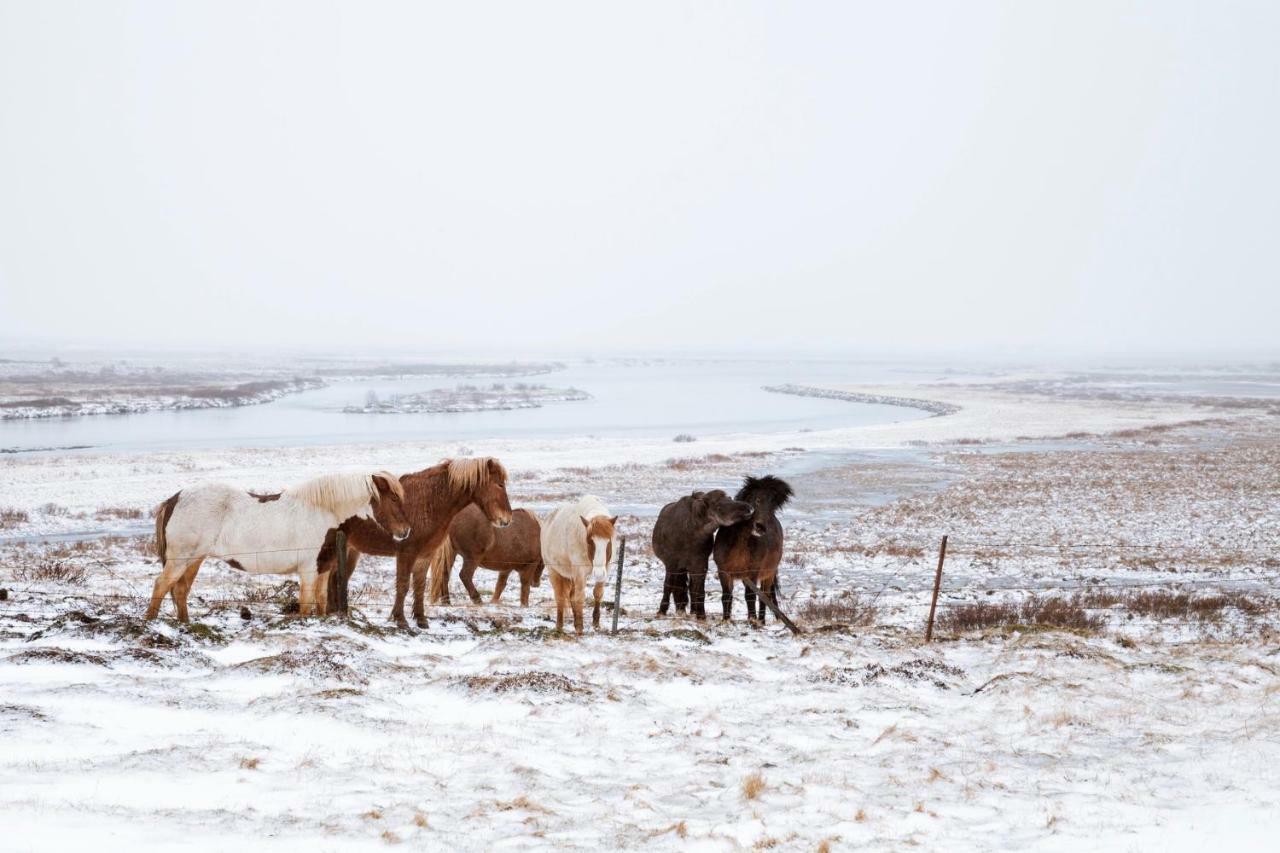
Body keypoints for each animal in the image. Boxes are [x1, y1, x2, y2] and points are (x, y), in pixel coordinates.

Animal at [149, 468, 409, 622]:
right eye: (393, 497)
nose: (405, 531)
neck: (322, 512)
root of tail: (174, 499)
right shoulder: (308, 570)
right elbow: (306, 604)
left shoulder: (323, 569)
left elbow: (321, 602)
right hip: (180, 559)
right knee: (161, 585)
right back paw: (149, 622)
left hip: (194, 559)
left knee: (180, 590)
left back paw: (186, 625)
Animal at [322, 455, 512, 627]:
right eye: (499, 484)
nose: (507, 519)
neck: (427, 502)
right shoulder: (406, 553)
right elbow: (403, 585)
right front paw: (400, 620)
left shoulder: (425, 555)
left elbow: (419, 585)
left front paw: (420, 619)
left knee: (334, 577)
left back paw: (334, 612)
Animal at [540, 491, 619, 630]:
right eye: (590, 541)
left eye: (608, 541)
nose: (598, 573)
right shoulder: (579, 573)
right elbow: (580, 598)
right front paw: (580, 627)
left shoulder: (606, 568)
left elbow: (598, 593)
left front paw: (596, 623)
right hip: (553, 571)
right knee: (560, 597)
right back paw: (559, 625)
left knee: (570, 596)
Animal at [655, 484, 752, 617]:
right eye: (718, 506)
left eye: (730, 498)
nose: (749, 509)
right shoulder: (671, 563)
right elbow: (668, 586)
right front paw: (661, 611)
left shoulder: (700, 563)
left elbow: (699, 590)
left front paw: (701, 614)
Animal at [711, 473, 788, 622]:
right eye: (757, 500)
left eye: (772, 505)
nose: (760, 528)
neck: (739, 544)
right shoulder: (723, 571)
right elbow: (726, 596)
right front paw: (726, 620)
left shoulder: (753, 572)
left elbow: (751, 596)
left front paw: (753, 621)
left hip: (768, 574)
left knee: (765, 596)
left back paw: (761, 621)